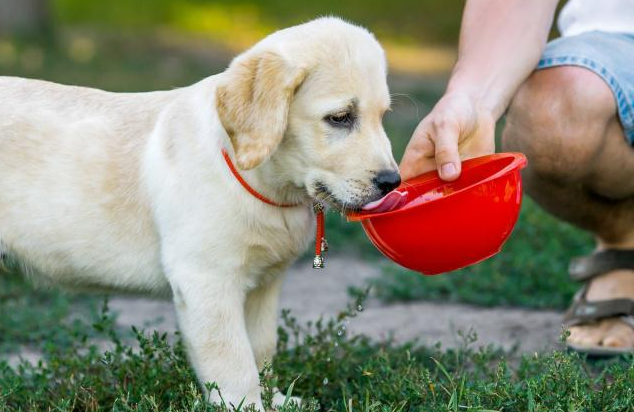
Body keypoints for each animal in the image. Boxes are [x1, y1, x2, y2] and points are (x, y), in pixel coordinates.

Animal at [0, 15, 396, 408]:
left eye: (383, 117)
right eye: (340, 118)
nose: (392, 181)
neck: (262, 182)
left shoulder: (264, 284)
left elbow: (262, 349)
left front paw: (277, 399)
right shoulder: (207, 280)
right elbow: (234, 362)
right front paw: (248, 405)